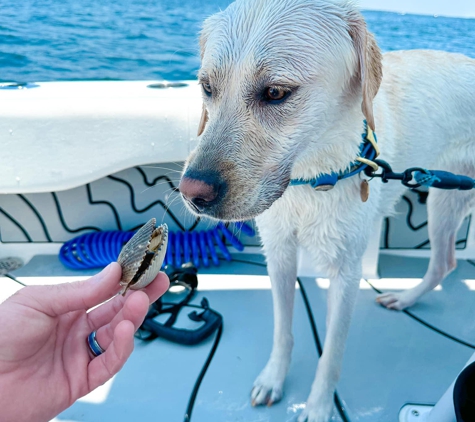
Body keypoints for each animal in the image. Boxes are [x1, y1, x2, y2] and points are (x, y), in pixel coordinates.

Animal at [178, 0, 475, 418]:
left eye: (276, 92)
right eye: (207, 87)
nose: (192, 193)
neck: (312, 177)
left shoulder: (347, 273)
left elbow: (331, 354)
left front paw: (318, 407)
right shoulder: (280, 254)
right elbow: (282, 330)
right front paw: (273, 378)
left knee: (443, 263)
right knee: (444, 263)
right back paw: (404, 299)